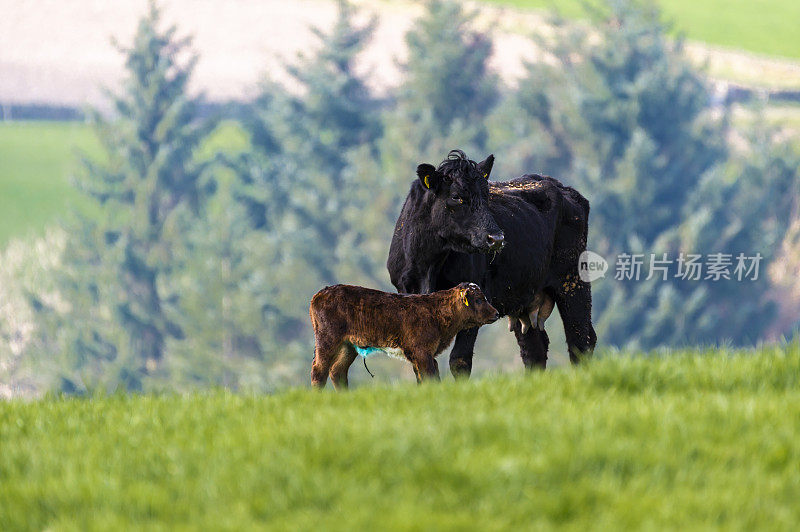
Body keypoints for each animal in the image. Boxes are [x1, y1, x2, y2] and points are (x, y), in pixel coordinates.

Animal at [310, 280, 496, 388]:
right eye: (479, 300)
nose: (496, 313)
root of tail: (321, 293)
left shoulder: (423, 354)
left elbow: (426, 377)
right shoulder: (422, 351)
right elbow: (429, 376)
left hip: (348, 345)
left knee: (337, 371)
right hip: (327, 339)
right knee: (319, 370)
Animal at [384, 148, 596, 376]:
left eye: (486, 195)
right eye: (456, 197)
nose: (497, 238)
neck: (427, 266)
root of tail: (561, 187)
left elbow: (460, 360)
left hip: (572, 280)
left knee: (581, 338)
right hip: (524, 293)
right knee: (535, 347)